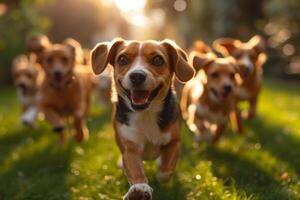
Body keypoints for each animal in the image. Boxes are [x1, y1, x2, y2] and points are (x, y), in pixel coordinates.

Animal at [91, 38, 195, 199]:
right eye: (122, 59)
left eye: (158, 60)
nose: (137, 76)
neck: (145, 114)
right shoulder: (130, 147)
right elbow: (136, 170)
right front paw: (139, 190)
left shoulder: (174, 141)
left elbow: (165, 171)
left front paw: (161, 171)